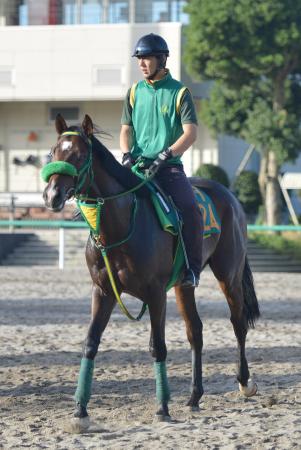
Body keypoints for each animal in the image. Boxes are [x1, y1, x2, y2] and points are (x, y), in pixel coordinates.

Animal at [41, 114, 258, 430]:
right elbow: (90, 343)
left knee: (238, 323)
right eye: (53, 152)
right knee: (196, 331)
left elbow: (158, 346)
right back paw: (194, 396)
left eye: (80, 156)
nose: (52, 195)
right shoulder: (103, 291)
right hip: (184, 285)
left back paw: (244, 382)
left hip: (228, 275)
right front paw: (80, 411)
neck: (121, 225)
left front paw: (162, 407)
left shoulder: (156, 294)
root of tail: (228, 195)